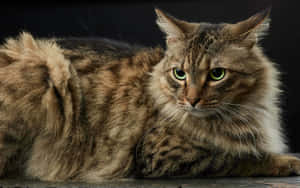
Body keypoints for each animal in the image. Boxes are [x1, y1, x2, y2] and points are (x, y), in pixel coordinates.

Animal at [0, 7, 300, 182]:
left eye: (217, 74)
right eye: (180, 74)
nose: (191, 100)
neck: (244, 110)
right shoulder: (159, 154)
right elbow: (236, 157)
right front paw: (287, 161)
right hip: (50, 66)